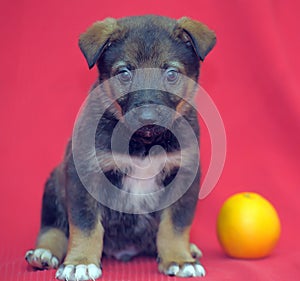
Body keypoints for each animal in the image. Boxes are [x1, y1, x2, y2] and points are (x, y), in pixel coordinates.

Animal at [24, 15, 214, 280]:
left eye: (171, 74)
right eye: (124, 73)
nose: (147, 117)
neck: (143, 145)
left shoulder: (183, 176)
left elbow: (174, 226)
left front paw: (179, 258)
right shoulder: (84, 175)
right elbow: (85, 225)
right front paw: (80, 263)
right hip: (54, 185)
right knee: (53, 229)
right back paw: (44, 253)